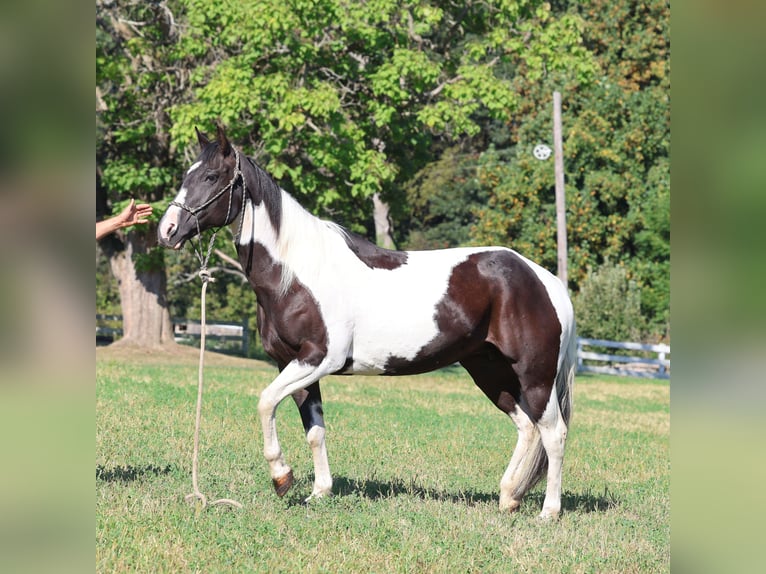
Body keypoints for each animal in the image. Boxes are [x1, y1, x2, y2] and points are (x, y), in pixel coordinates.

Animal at [157, 125, 576, 519]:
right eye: (187, 174)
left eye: (211, 176)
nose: (167, 230)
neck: (299, 273)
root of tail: (546, 280)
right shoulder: (291, 363)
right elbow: (314, 429)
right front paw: (318, 492)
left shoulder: (318, 359)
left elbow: (265, 402)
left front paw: (281, 477)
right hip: (488, 369)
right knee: (526, 427)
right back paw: (508, 497)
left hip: (534, 376)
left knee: (553, 433)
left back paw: (548, 511)